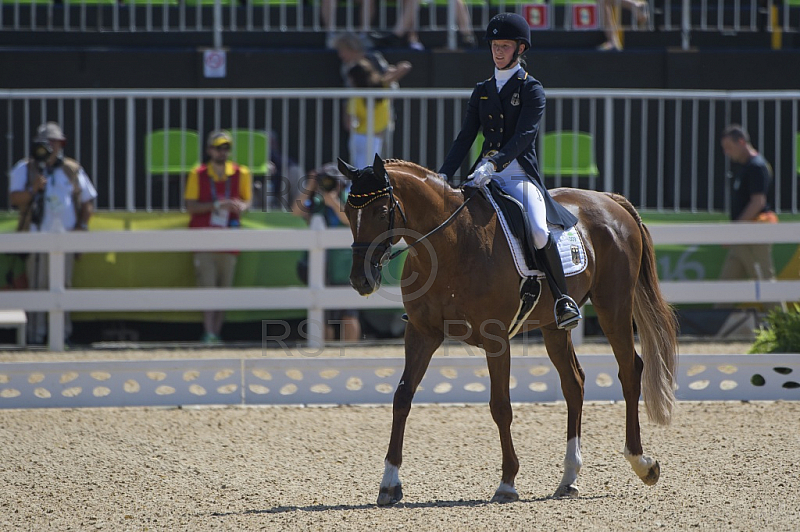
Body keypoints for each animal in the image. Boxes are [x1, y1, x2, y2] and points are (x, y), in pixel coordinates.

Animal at [338, 156, 676, 504]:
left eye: (381, 212)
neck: (451, 243)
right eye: (348, 211)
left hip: (614, 306)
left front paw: (507, 483)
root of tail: (610, 200)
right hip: (555, 327)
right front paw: (389, 482)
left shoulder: (496, 338)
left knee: (629, 371)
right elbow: (402, 397)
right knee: (574, 383)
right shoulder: (421, 333)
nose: (361, 281)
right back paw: (569, 478)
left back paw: (642, 463)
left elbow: (500, 406)